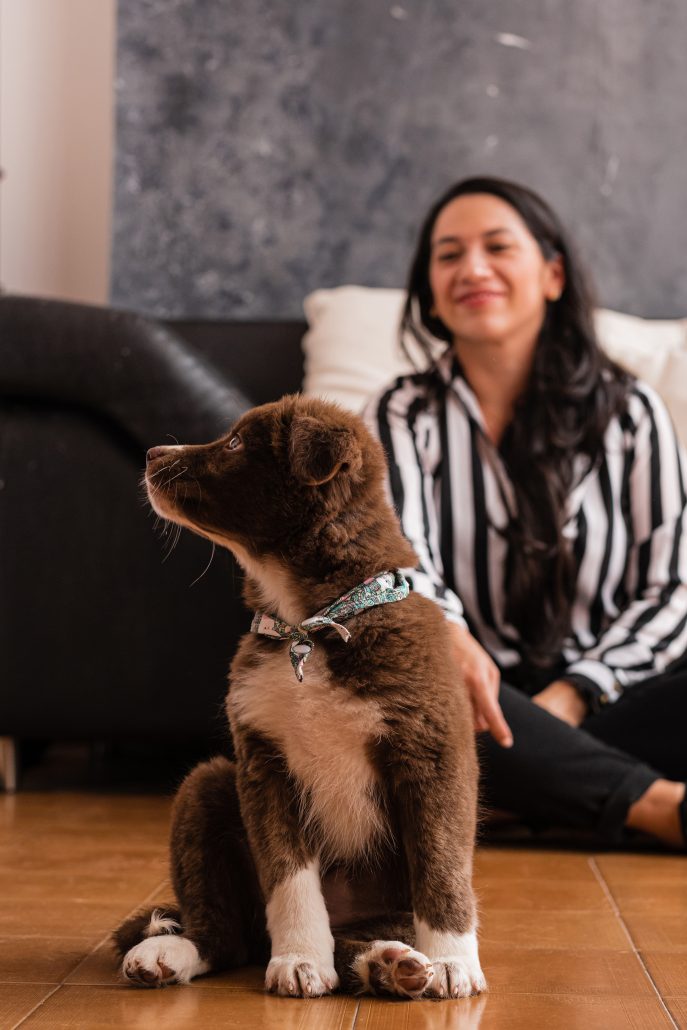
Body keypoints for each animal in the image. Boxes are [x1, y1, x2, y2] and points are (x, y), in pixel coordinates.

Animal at [114, 391, 484, 997]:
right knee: (226, 934)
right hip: (205, 786)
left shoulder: (432, 753)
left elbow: (441, 867)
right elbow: (289, 879)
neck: (309, 624)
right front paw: (301, 959)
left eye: (236, 443)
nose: (151, 454)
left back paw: (391, 964)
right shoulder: (264, 762)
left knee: (367, 931)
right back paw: (171, 951)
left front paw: (453, 961)